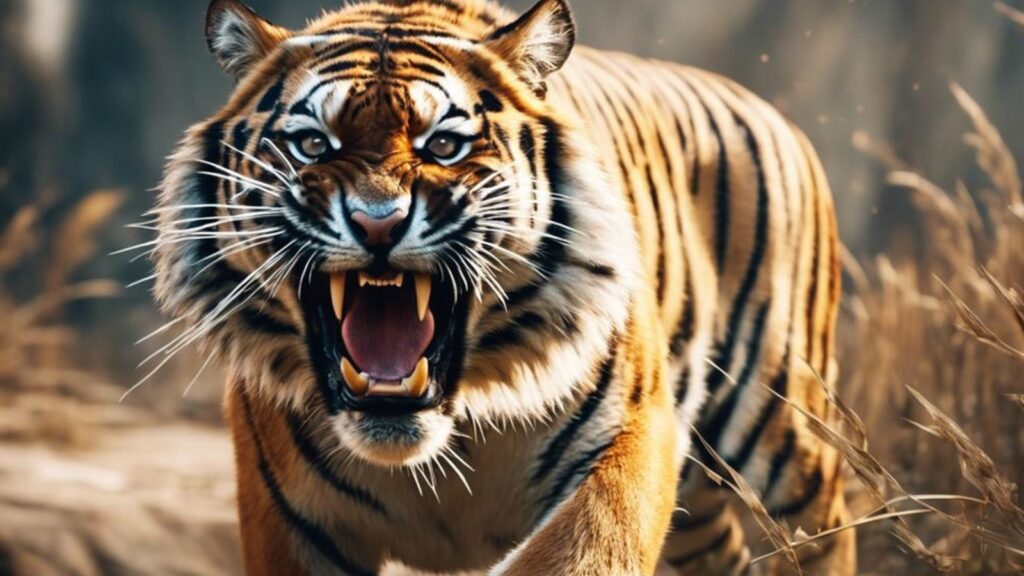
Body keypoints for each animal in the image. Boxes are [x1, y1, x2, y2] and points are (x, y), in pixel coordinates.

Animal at [151, 0, 853, 574]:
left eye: (444, 145)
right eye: (312, 144)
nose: (377, 222)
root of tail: (766, 107)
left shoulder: (632, 437)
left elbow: (580, 553)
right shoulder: (288, 519)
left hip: (780, 420)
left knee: (824, 520)